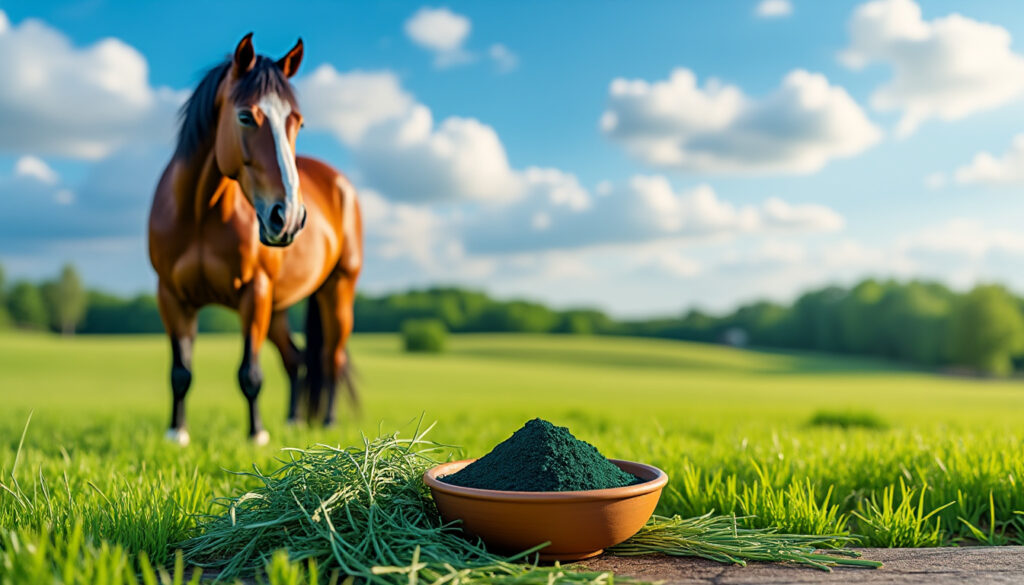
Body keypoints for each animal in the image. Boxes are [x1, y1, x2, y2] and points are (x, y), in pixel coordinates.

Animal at [148, 33, 363, 445]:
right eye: (246, 117)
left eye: (298, 122)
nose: (289, 217)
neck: (200, 214)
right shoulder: (172, 296)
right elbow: (180, 371)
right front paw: (176, 434)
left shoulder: (255, 292)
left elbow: (250, 372)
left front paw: (256, 436)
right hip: (278, 308)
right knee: (296, 359)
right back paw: (294, 421)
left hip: (336, 291)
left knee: (332, 358)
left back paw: (327, 422)